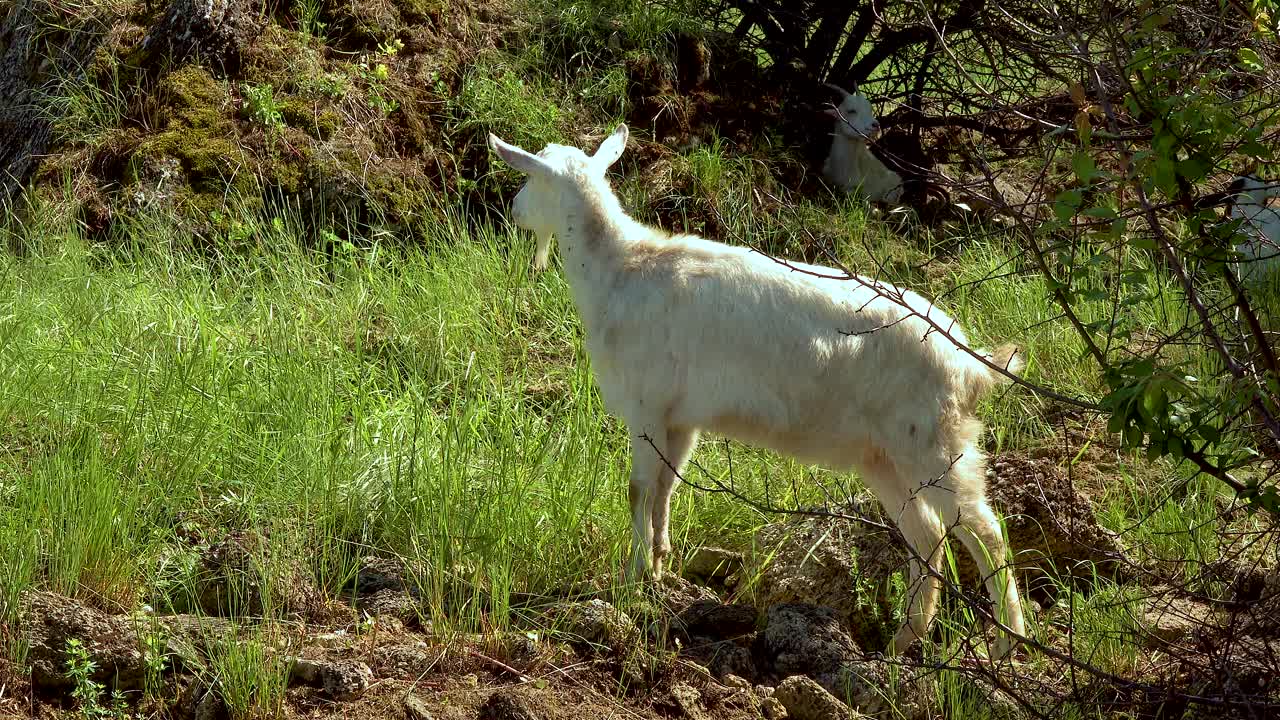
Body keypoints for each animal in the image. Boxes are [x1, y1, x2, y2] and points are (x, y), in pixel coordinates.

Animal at [488, 124, 1029, 655]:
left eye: (531, 176)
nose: (513, 210)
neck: (620, 270)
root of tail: (971, 364)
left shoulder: (645, 406)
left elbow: (637, 490)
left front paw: (631, 579)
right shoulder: (679, 419)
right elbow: (665, 488)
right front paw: (659, 568)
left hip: (934, 443)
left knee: (985, 531)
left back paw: (1007, 644)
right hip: (885, 456)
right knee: (928, 534)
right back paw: (903, 642)